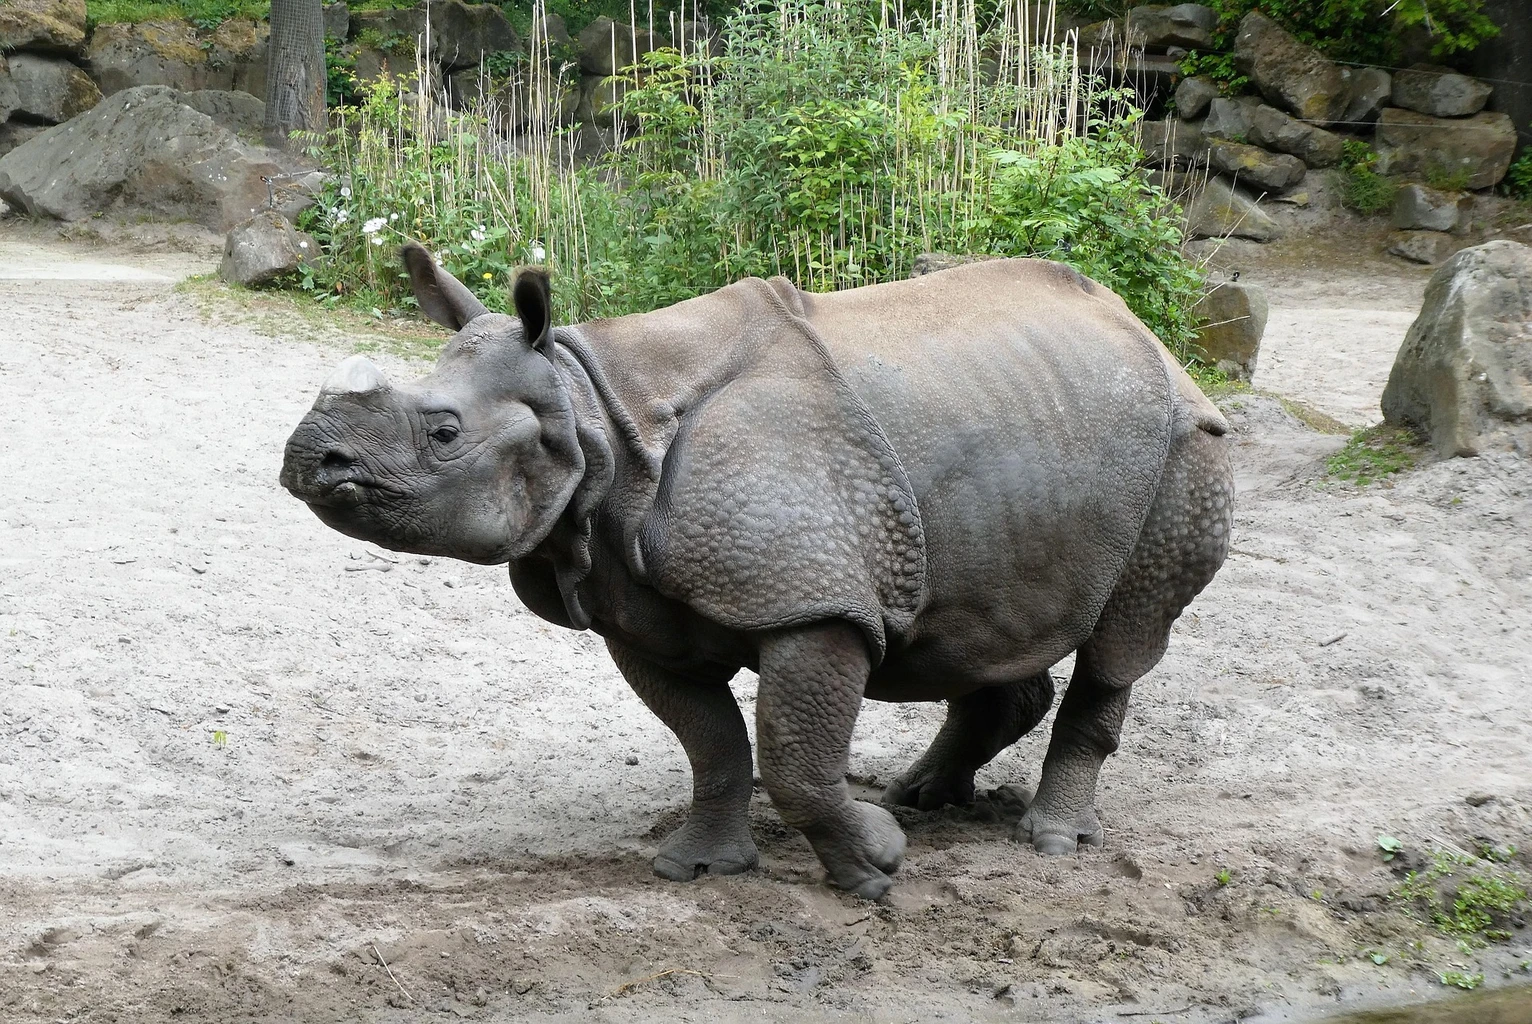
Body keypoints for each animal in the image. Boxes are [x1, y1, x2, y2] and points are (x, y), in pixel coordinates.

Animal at [280, 245, 1234, 899]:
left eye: (443, 433)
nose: (307, 459)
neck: (592, 411)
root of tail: (1150, 336)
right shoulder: (637, 610)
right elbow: (710, 740)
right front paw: (697, 869)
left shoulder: (814, 600)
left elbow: (792, 752)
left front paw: (875, 869)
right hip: (1034, 440)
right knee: (992, 623)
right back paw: (926, 796)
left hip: (1185, 448)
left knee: (1123, 639)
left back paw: (1052, 841)